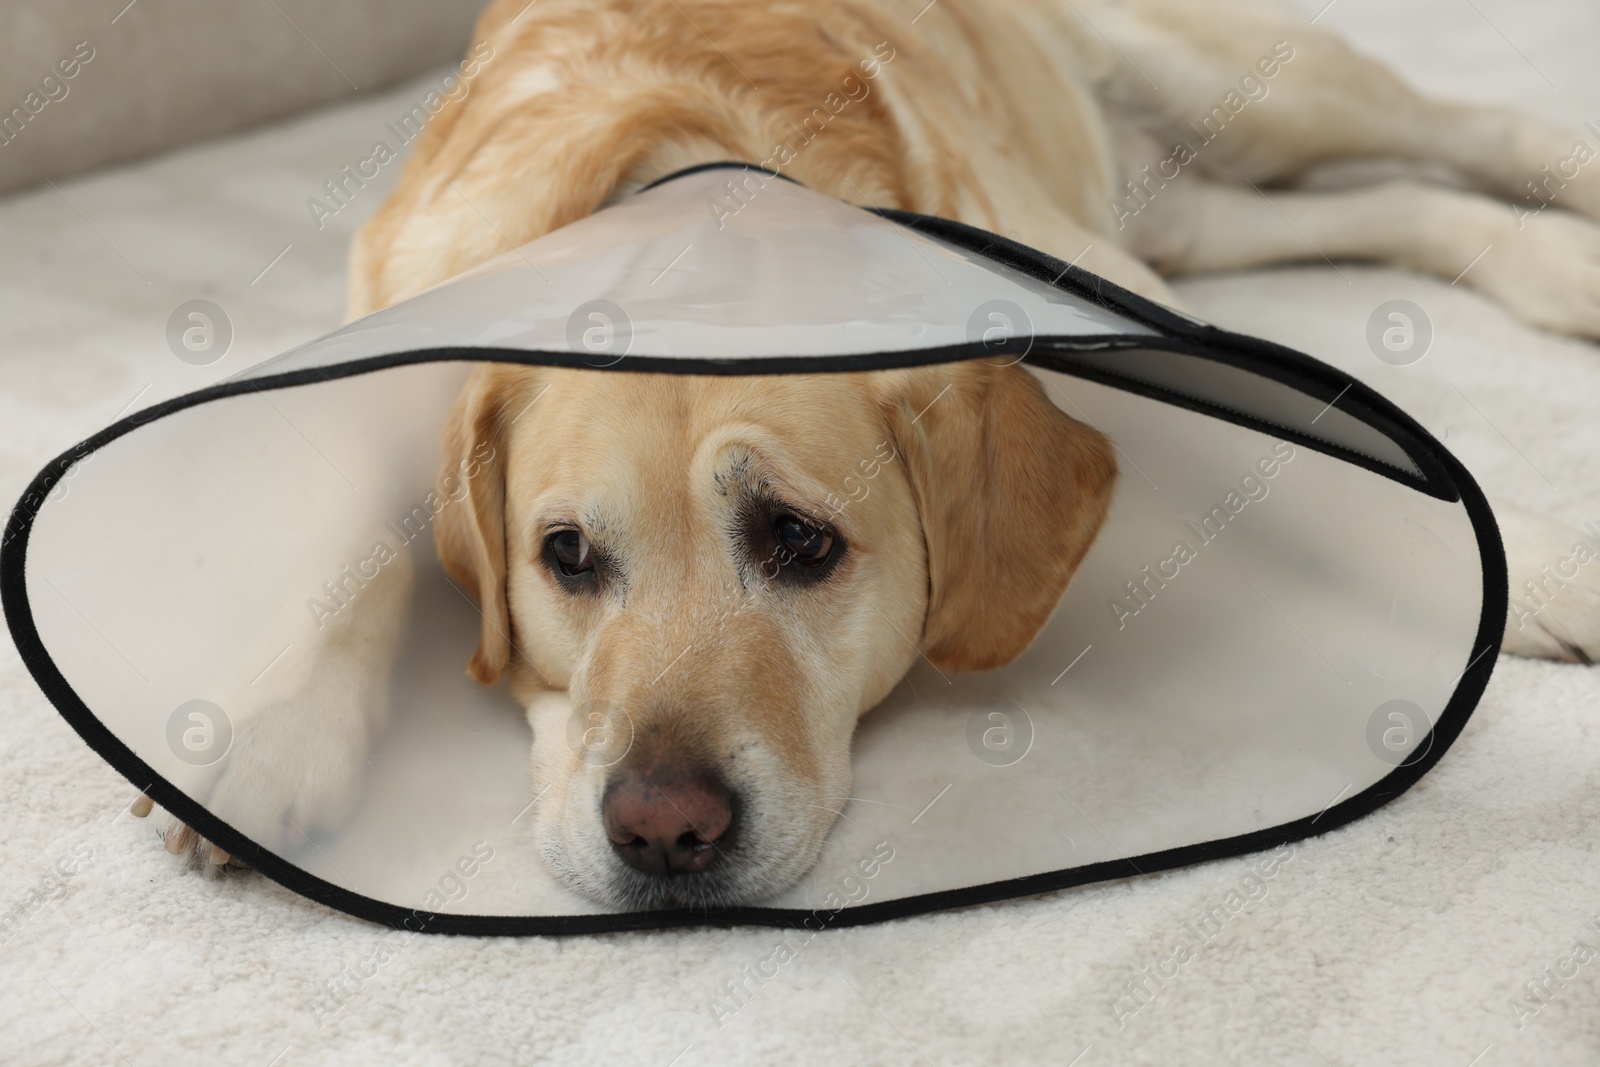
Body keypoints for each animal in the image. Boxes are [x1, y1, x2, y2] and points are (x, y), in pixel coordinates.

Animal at [137, 0, 1600, 908]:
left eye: (799, 540)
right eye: (566, 555)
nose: (664, 830)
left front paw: (1529, 563)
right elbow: (364, 519)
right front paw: (268, 725)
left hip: (1251, 90)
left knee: (1458, 132)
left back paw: (1570, 197)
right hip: (1191, 206)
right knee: (1387, 205)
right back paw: (1556, 262)